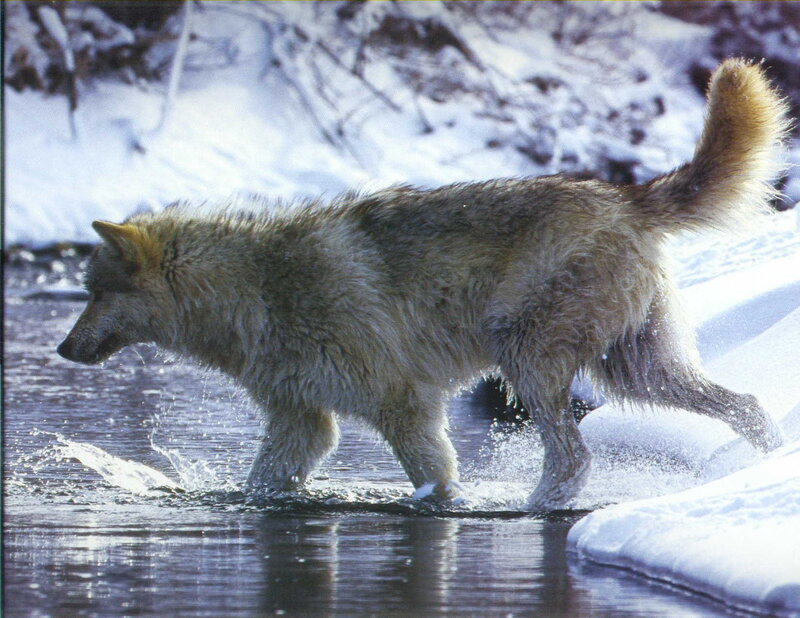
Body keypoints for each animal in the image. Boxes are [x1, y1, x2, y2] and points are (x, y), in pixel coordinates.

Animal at [58, 59, 788, 509]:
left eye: (94, 293)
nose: (61, 350)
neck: (256, 288)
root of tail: (625, 195)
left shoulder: (403, 403)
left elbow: (434, 482)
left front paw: (444, 507)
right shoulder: (303, 421)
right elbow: (260, 486)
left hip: (533, 366)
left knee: (573, 460)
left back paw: (530, 508)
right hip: (637, 374)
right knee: (746, 405)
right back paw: (767, 465)